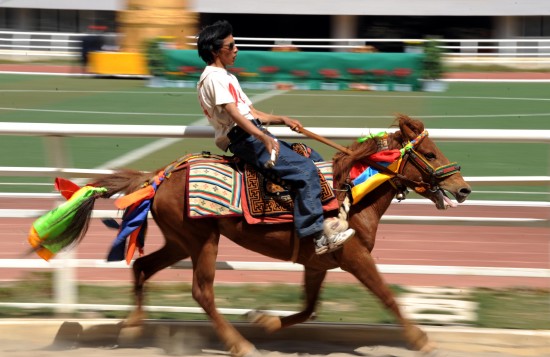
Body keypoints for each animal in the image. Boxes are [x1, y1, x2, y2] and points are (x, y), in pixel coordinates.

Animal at [47, 114, 472, 356]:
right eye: (430, 154)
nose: (464, 188)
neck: (349, 192)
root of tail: (162, 175)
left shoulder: (318, 262)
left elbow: (308, 308)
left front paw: (265, 320)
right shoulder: (354, 256)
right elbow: (387, 296)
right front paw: (420, 339)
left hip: (179, 242)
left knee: (144, 267)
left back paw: (134, 325)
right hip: (201, 241)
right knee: (201, 291)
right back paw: (239, 344)